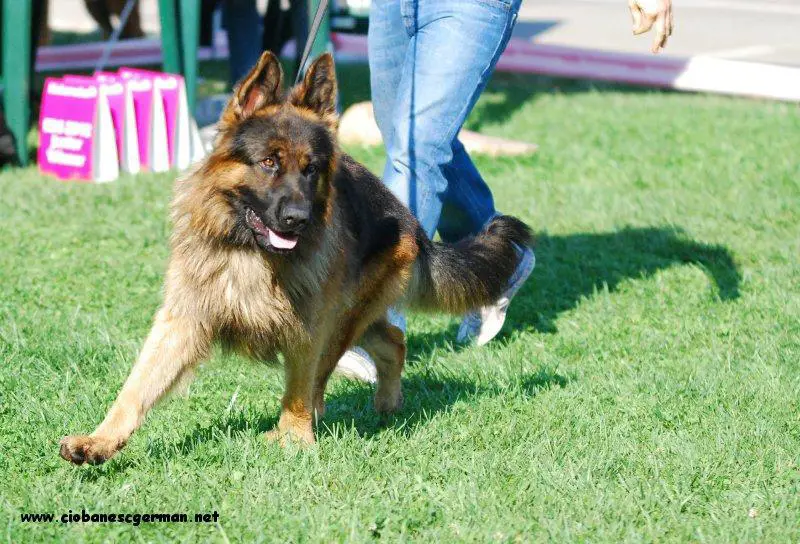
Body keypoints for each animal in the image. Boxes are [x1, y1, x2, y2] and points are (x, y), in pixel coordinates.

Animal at [59, 52, 532, 465]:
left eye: (311, 169)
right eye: (269, 162)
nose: (298, 220)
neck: (248, 252)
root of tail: (408, 218)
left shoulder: (308, 325)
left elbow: (299, 386)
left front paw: (293, 439)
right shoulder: (186, 318)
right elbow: (136, 388)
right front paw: (100, 441)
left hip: (342, 315)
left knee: (341, 366)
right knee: (393, 340)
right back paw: (387, 402)